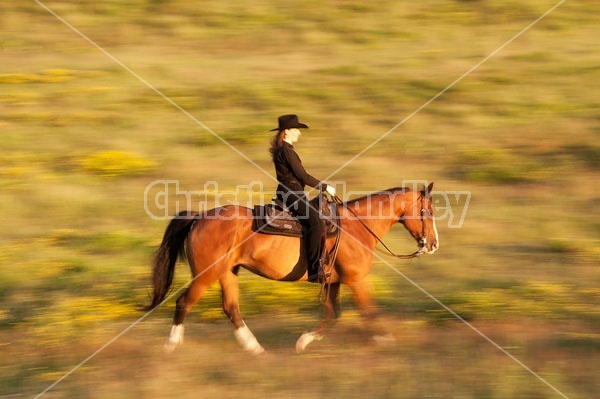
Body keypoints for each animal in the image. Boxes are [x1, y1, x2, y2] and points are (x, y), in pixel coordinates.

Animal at [148, 183, 438, 354]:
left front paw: (303, 341)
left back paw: (255, 349)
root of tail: (199, 217)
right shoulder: (357, 280)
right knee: (183, 303)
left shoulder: (332, 282)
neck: (356, 227)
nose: (433, 245)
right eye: (429, 212)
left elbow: (332, 315)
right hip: (206, 274)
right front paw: (385, 341)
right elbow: (369, 311)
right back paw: (171, 345)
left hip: (228, 273)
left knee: (231, 308)